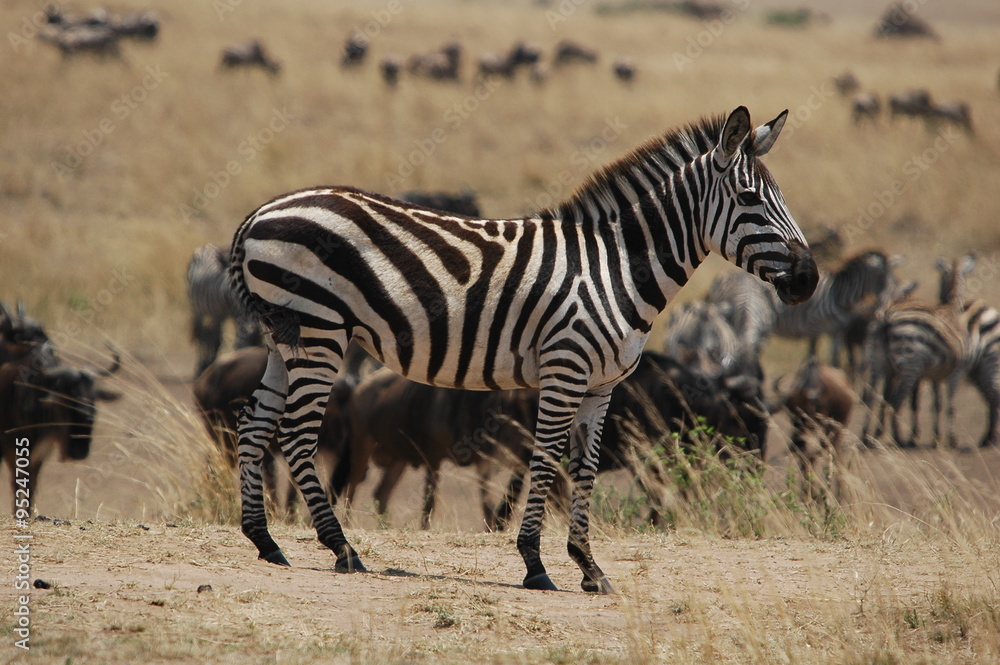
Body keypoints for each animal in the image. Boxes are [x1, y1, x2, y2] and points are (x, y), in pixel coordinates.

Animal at [187, 244, 261, 378]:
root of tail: (207, 245)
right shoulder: (232, 314)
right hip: (197, 308)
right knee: (201, 334)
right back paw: (201, 367)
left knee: (211, 335)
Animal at [228, 106, 818, 592]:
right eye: (749, 201)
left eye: (783, 199)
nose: (810, 279)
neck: (615, 269)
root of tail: (259, 213)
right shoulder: (565, 368)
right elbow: (545, 459)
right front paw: (535, 563)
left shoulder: (602, 383)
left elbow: (584, 466)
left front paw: (589, 567)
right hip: (319, 330)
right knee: (295, 433)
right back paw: (342, 548)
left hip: (284, 339)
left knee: (255, 424)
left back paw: (265, 541)